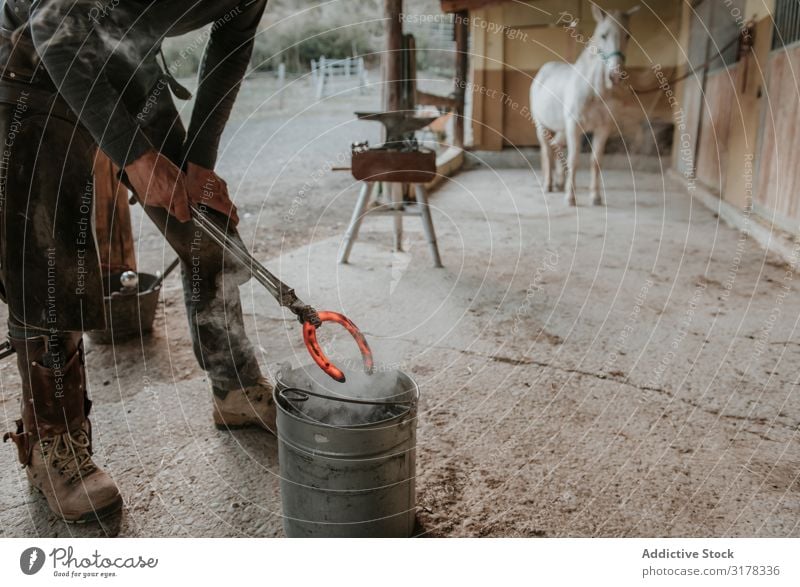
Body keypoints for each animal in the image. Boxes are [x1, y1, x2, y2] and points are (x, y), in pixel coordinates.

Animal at [532, 4, 636, 207]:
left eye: (627, 35)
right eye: (603, 35)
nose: (615, 75)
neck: (594, 91)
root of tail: (542, 72)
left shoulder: (603, 128)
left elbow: (596, 161)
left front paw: (595, 197)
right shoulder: (574, 127)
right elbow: (574, 160)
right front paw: (570, 198)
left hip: (561, 129)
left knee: (555, 147)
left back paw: (558, 183)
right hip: (542, 125)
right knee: (546, 151)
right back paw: (548, 184)